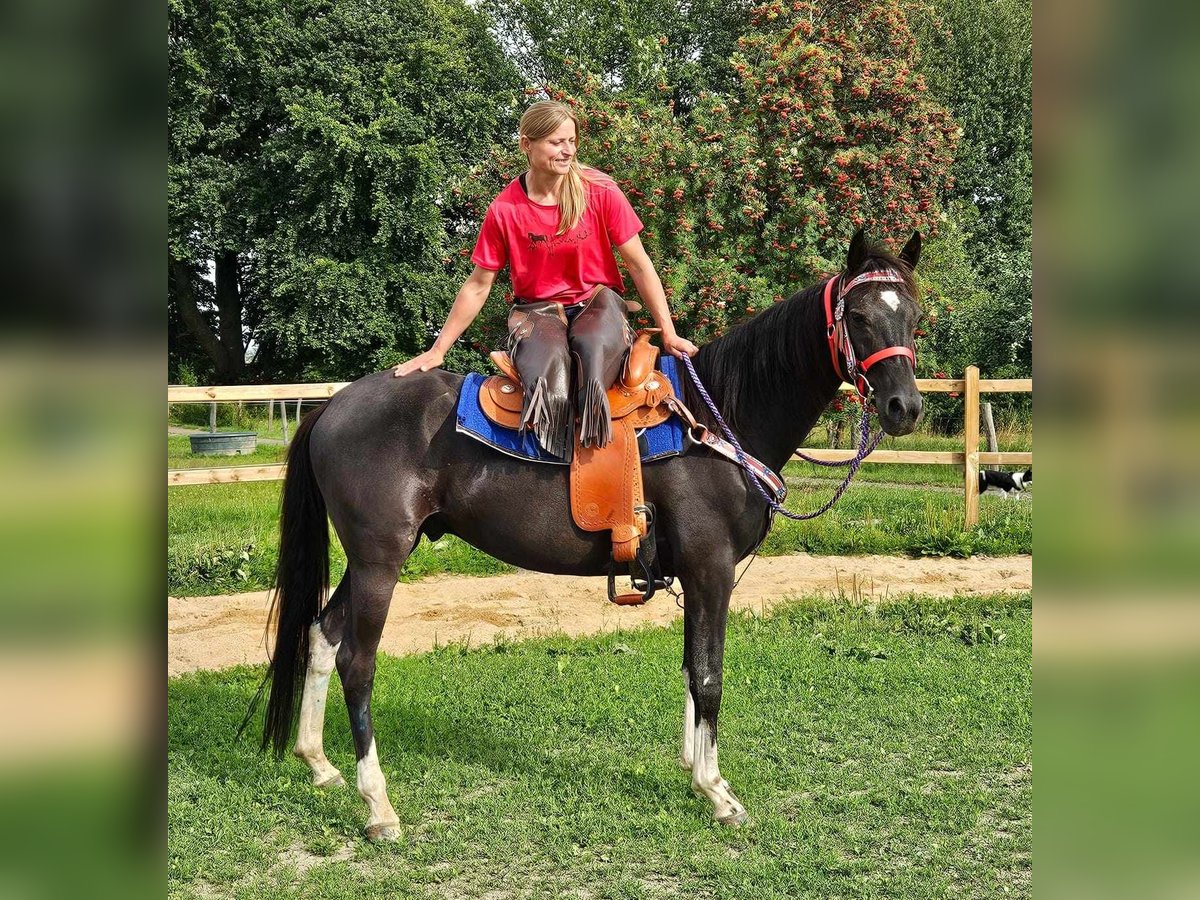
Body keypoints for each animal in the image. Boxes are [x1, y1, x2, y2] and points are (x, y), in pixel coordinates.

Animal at [258, 230, 921, 840]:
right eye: (859, 317)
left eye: (913, 315)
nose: (905, 408)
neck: (719, 421)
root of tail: (335, 405)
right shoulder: (712, 568)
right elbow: (709, 675)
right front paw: (717, 792)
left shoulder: (697, 575)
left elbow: (690, 667)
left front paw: (695, 774)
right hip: (380, 560)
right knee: (357, 661)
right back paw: (378, 806)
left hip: (367, 559)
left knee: (321, 633)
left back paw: (318, 764)